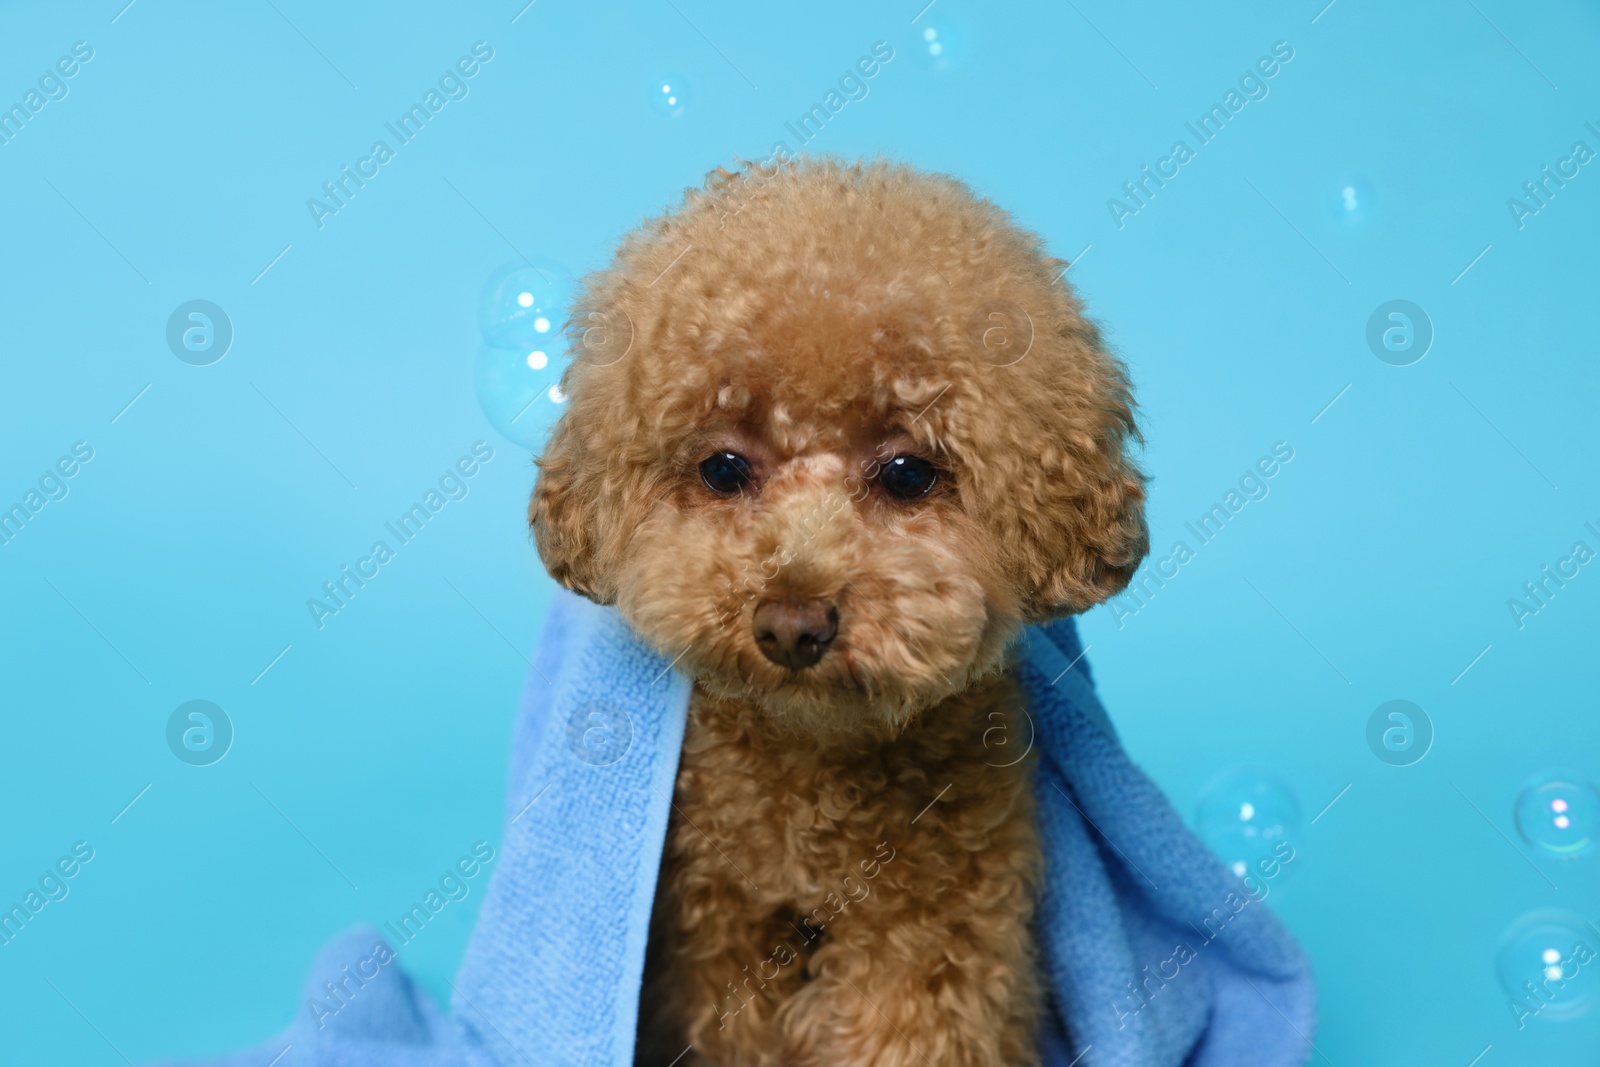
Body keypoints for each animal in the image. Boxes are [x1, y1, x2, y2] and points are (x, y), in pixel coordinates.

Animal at [531, 158, 1145, 1067]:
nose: (792, 623)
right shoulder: (720, 930)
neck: (813, 780)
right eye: (722, 468)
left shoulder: (933, 928)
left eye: (906, 472)